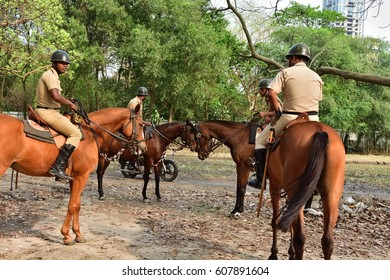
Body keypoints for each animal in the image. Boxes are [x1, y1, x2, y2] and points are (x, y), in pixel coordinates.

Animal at [0, 107, 146, 245]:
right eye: (140, 124)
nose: (143, 147)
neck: (90, 134)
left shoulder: (74, 179)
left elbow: (77, 205)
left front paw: (78, 234)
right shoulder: (82, 177)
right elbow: (72, 206)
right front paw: (66, 235)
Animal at [189, 117, 344, 260]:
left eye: (196, 136)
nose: (201, 154)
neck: (239, 136)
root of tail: (320, 131)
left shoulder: (246, 168)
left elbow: (242, 190)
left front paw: (237, 211)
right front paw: (290, 252)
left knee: (301, 236)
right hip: (329, 196)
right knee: (327, 240)